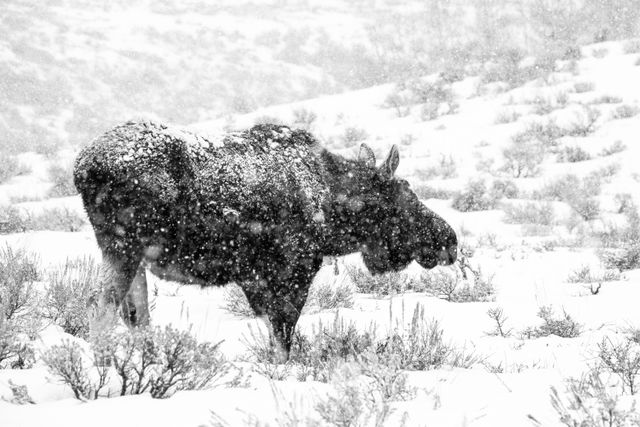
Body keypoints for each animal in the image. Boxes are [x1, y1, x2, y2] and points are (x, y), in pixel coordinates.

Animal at [74, 122, 456, 360]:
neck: (334, 206)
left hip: (134, 255)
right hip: (122, 246)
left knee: (135, 317)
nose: (449, 240)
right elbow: (282, 343)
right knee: (100, 311)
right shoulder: (291, 273)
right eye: (404, 195)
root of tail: (81, 167)